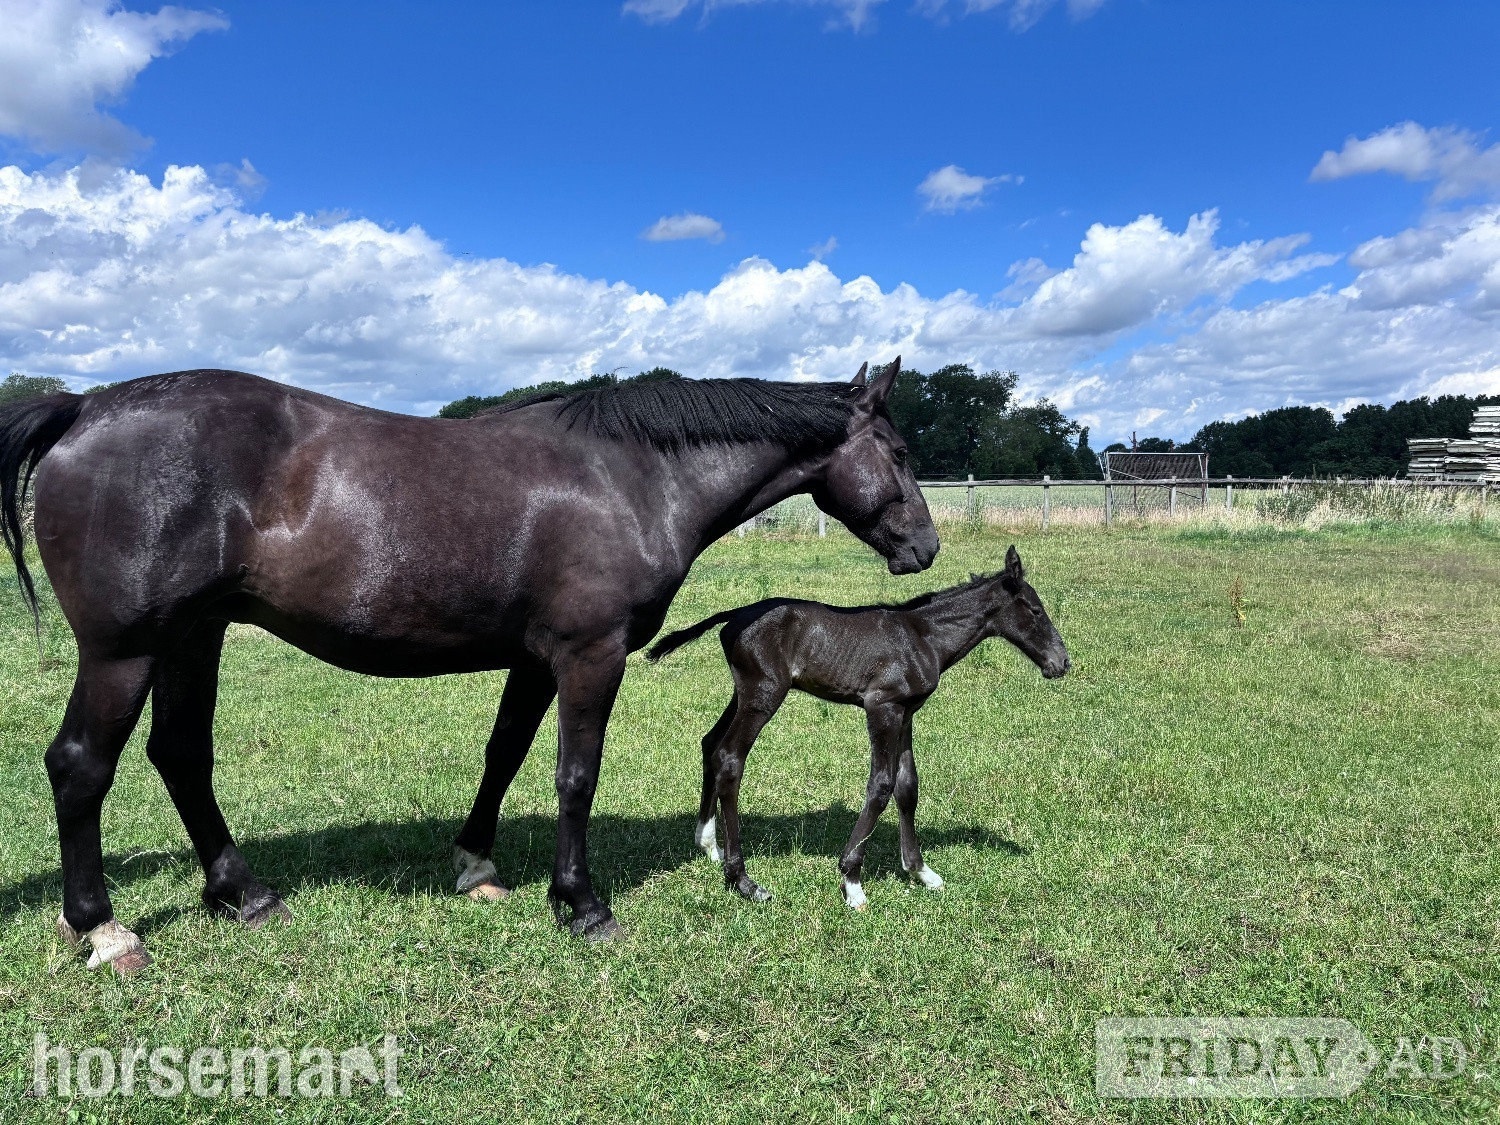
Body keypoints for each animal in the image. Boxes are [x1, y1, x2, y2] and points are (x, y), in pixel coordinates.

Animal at [0, 359, 938, 970]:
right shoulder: (589, 655)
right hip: (125, 651)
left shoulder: (536, 658)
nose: (924, 548)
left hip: (193, 637)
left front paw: (477, 866)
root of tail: (86, 407)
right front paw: (582, 904)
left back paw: (244, 893)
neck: (628, 476)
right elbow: (575, 776)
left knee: (181, 756)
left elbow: (506, 753)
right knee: (81, 766)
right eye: (898, 454)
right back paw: (102, 927)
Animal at [645, 545, 1067, 910]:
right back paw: (744, 880)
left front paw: (921, 871)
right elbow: (880, 786)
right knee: (730, 757)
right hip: (763, 695)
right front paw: (852, 881)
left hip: (744, 694)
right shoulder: (882, 707)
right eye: (1035, 609)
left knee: (710, 744)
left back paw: (708, 844)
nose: (1061, 662)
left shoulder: (907, 712)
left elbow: (908, 786)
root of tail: (736, 614)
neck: (923, 637)